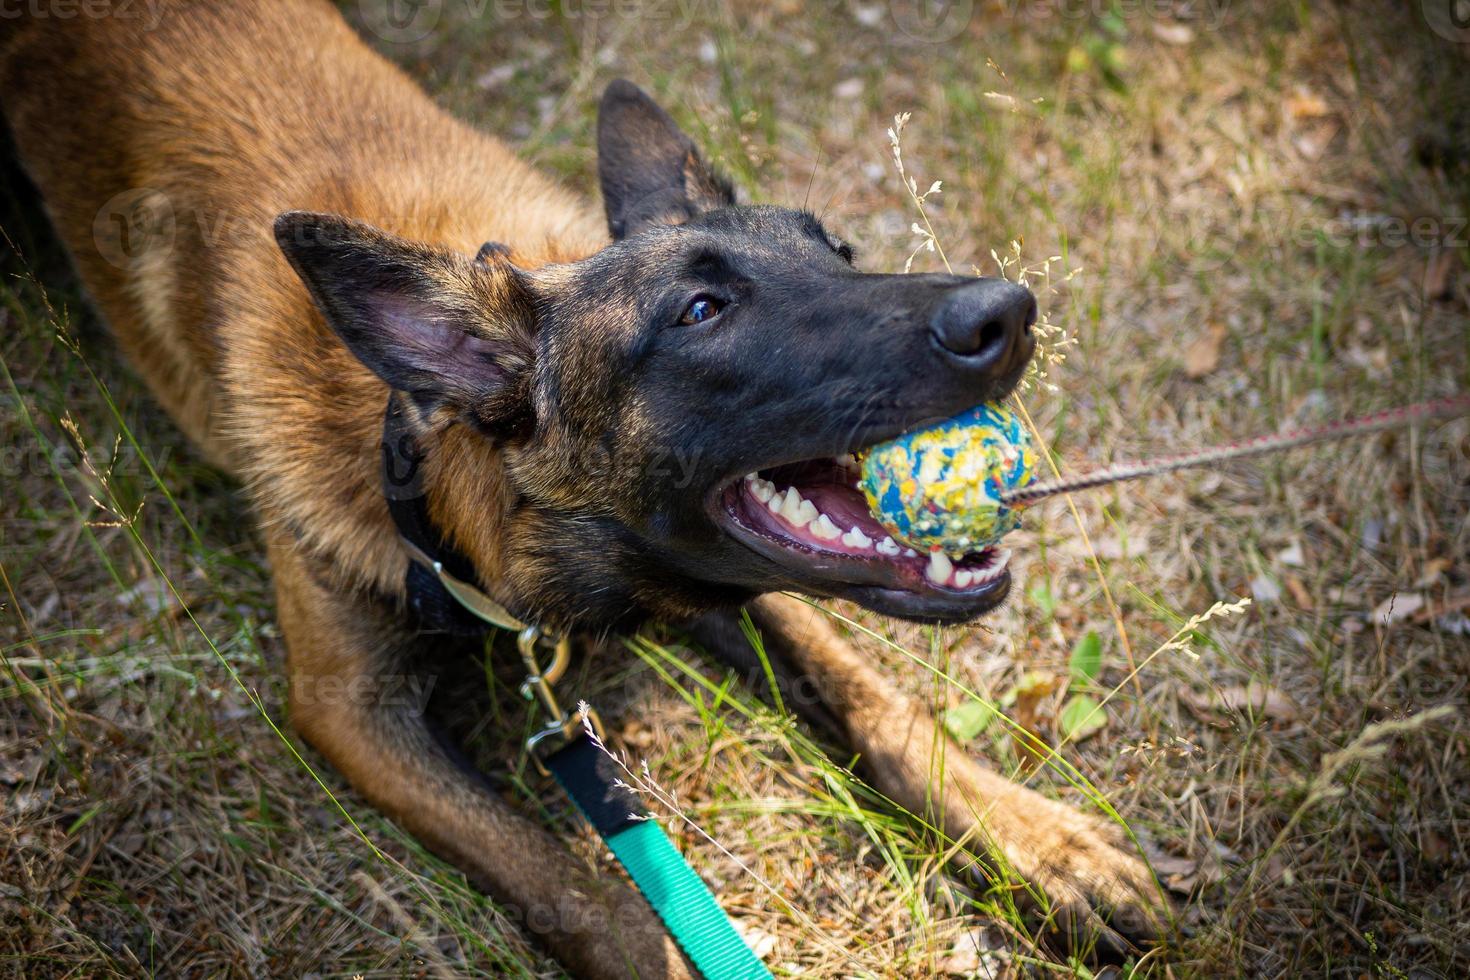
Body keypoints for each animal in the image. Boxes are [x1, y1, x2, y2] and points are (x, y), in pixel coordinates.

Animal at [5, 0, 1164, 975]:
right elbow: (573, 888)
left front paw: (1040, 842)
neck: (437, 469)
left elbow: (868, 692)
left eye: (838, 249)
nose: (1008, 311)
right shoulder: (349, 712)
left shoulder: (719, 581)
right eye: (700, 312)